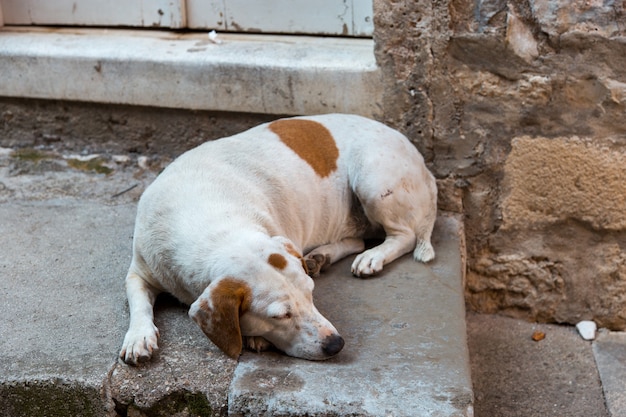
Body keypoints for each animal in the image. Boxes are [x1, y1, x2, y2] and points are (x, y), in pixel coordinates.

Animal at [119, 114, 436, 364]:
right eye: (280, 315)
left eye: (311, 293)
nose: (336, 344)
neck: (210, 219)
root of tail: (422, 162)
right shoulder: (139, 271)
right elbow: (139, 302)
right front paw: (139, 336)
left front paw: (255, 339)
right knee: (358, 240)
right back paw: (322, 256)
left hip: (373, 180)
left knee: (405, 236)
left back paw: (373, 256)